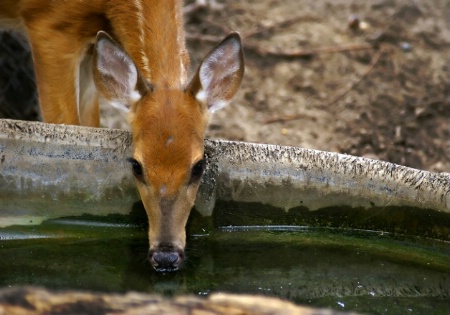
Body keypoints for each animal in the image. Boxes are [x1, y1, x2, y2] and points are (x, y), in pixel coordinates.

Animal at [0, 0, 243, 272]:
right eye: (136, 166)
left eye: (199, 166)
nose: (166, 256)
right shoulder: (47, 27)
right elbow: (64, 124)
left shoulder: (90, 45)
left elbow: (90, 125)